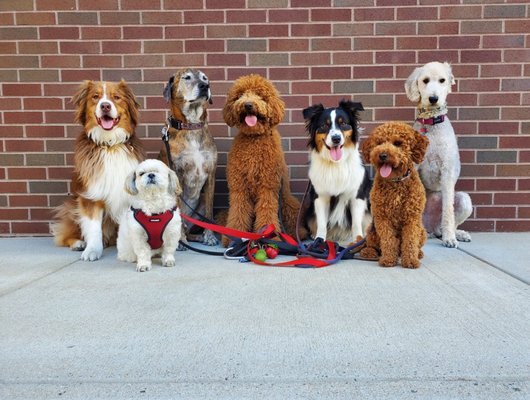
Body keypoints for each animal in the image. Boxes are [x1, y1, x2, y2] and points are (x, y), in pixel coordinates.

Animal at [157, 69, 217, 250]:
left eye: (205, 78)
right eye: (187, 77)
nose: (205, 86)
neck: (191, 127)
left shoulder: (211, 174)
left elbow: (210, 212)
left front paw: (209, 237)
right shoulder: (177, 174)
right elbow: (179, 212)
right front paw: (180, 241)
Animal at [221, 73, 308, 245]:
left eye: (260, 95)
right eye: (239, 95)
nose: (248, 105)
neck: (254, 139)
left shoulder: (268, 187)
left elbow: (267, 212)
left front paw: (270, 237)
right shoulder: (239, 188)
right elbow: (238, 212)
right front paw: (234, 236)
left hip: (287, 203)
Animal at [358, 120, 428, 268]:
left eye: (398, 143)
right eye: (379, 143)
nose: (382, 155)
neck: (396, 181)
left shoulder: (412, 218)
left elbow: (410, 240)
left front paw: (411, 260)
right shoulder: (383, 217)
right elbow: (388, 240)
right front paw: (388, 259)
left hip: (422, 231)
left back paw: (418, 253)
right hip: (371, 232)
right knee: (372, 245)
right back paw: (369, 252)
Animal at [402, 61, 472, 247]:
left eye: (442, 80)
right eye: (425, 80)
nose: (433, 98)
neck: (431, 123)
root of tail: (431, 228)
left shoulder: (447, 171)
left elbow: (448, 210)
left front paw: (450, 238)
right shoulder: (413, 168)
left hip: (464, 200)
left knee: (450, 221)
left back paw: (456, 233)